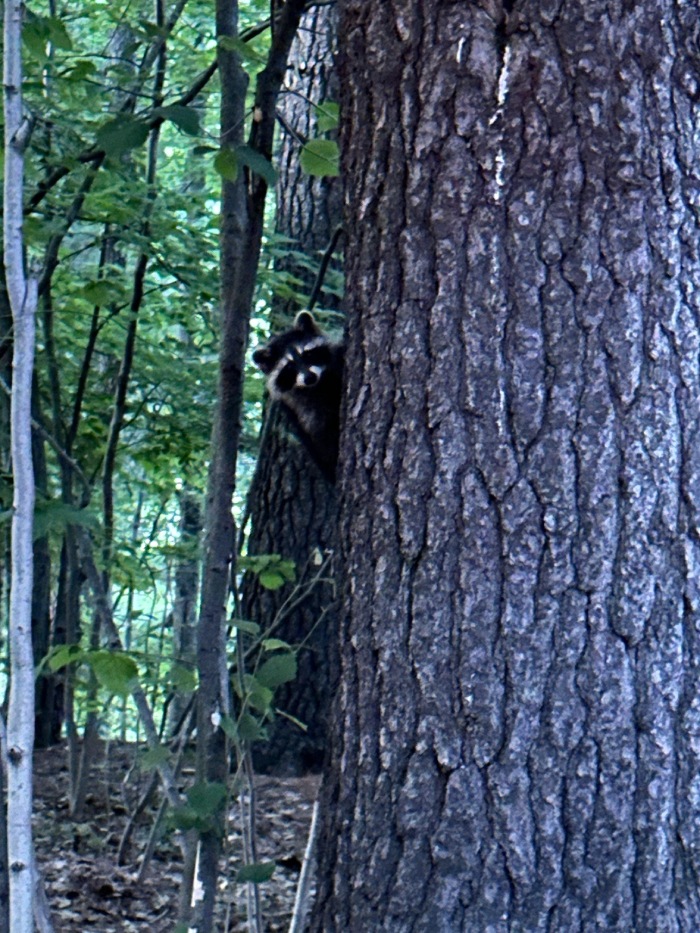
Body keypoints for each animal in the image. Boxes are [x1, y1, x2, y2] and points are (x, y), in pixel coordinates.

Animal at [254, 312, 344, 484]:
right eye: (289, 367)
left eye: (308, 354)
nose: (309, 377)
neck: (318, 385)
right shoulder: (299, 411)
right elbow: (321, 435)